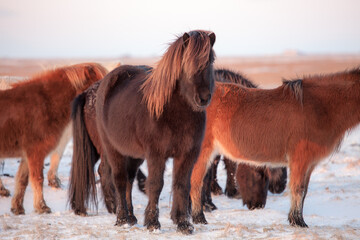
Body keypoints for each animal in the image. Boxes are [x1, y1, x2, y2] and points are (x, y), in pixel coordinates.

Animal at [0, 62, 107, 215]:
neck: (45, 103)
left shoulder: (27, 154)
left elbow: (22, 180)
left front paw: (18, 208)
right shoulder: (35, 152)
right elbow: (38, 179)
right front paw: (42, 207)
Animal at [69, 30, 217, 234]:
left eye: (210, 60)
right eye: (187, 63)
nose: (203, 98)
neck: (173, 113)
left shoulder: (187, 154)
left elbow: (181, 185)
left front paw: (183, 223)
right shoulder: (156, 154)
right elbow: (155, 185)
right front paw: (153, 223)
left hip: (134, 155)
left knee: (129, 180)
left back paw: (131, 217)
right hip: (113, 150)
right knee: (119, 179)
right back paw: (122, 218)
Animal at [190, 67, 358, 227]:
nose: (257, 205)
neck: (318, 107)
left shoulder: (309, 164)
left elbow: (304, 192)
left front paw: (295, 220)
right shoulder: (300, 160)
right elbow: (298, 189)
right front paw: (298, 222)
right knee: (196, 183)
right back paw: (199, 218)